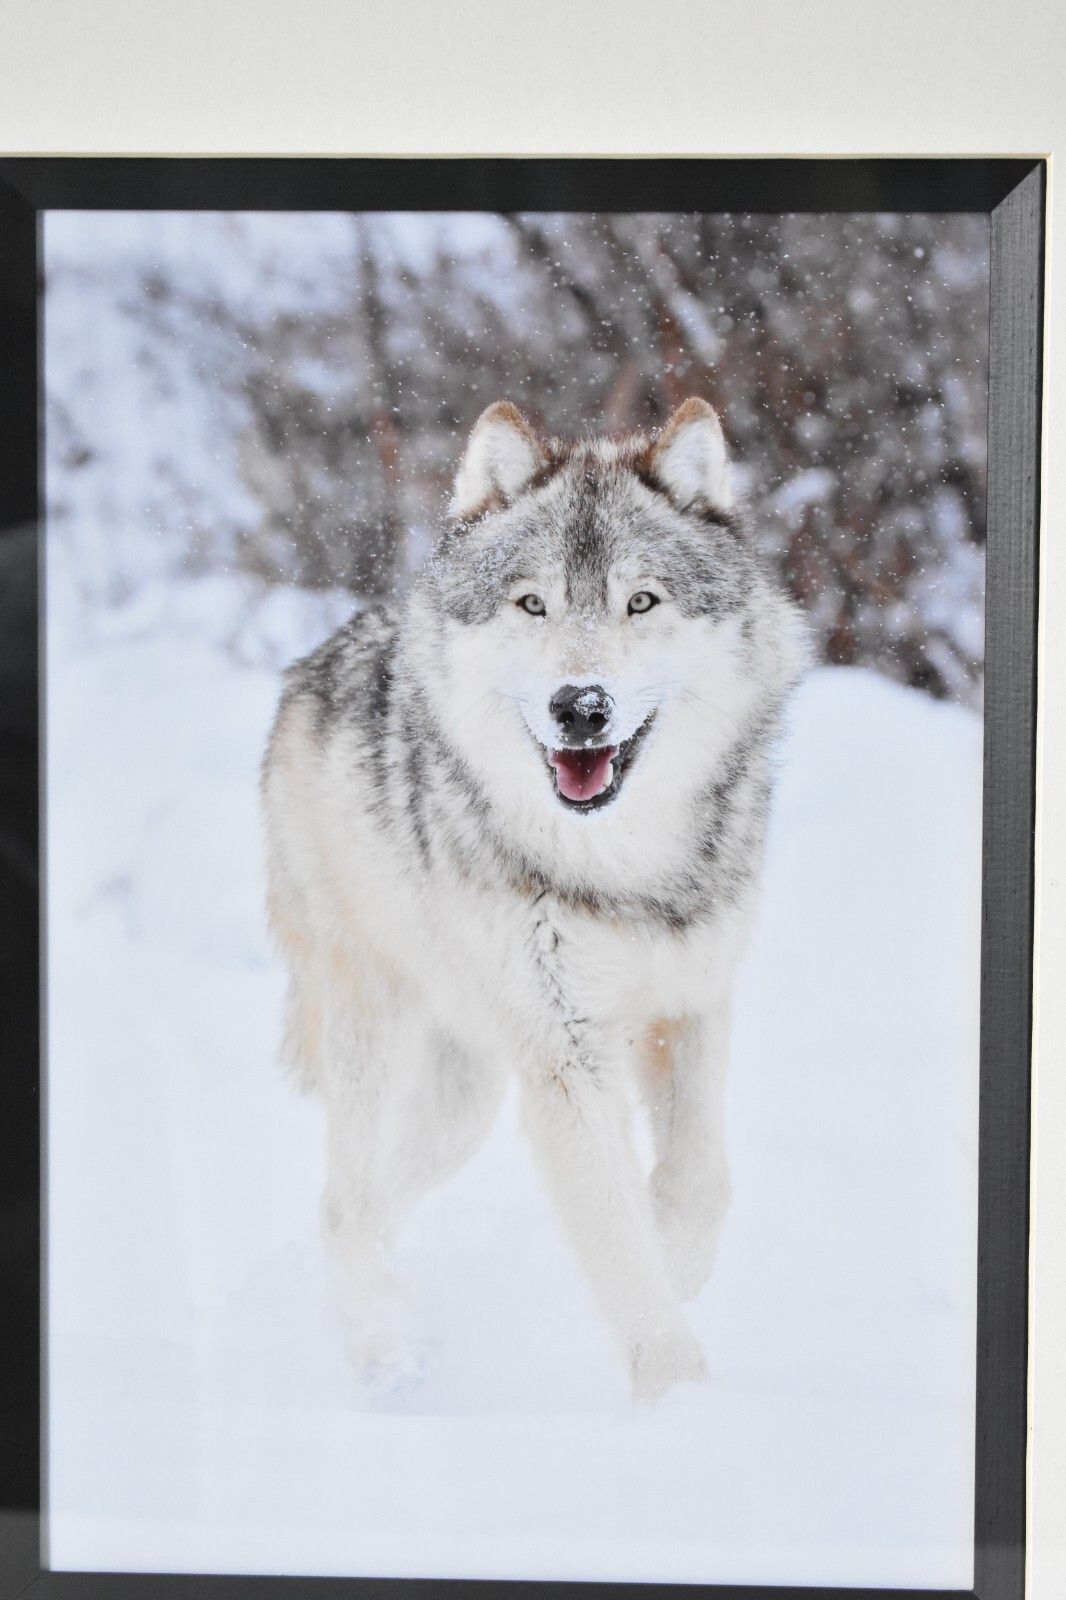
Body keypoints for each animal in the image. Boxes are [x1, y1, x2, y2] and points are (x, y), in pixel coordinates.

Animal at [261, 398, 807, 1400]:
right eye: (533, 603)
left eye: (641, 601)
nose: (580, 706)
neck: (622, 870)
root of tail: (312, 665)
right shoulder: (568, 1059)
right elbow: (620, 1245)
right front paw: (680, 1402)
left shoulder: (693, 1001)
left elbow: (698, 1184)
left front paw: (678, 1262)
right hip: (375, 1033)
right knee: (345, 1200)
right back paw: (380, 1347)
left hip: (463, 1100)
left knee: (371, 1197)